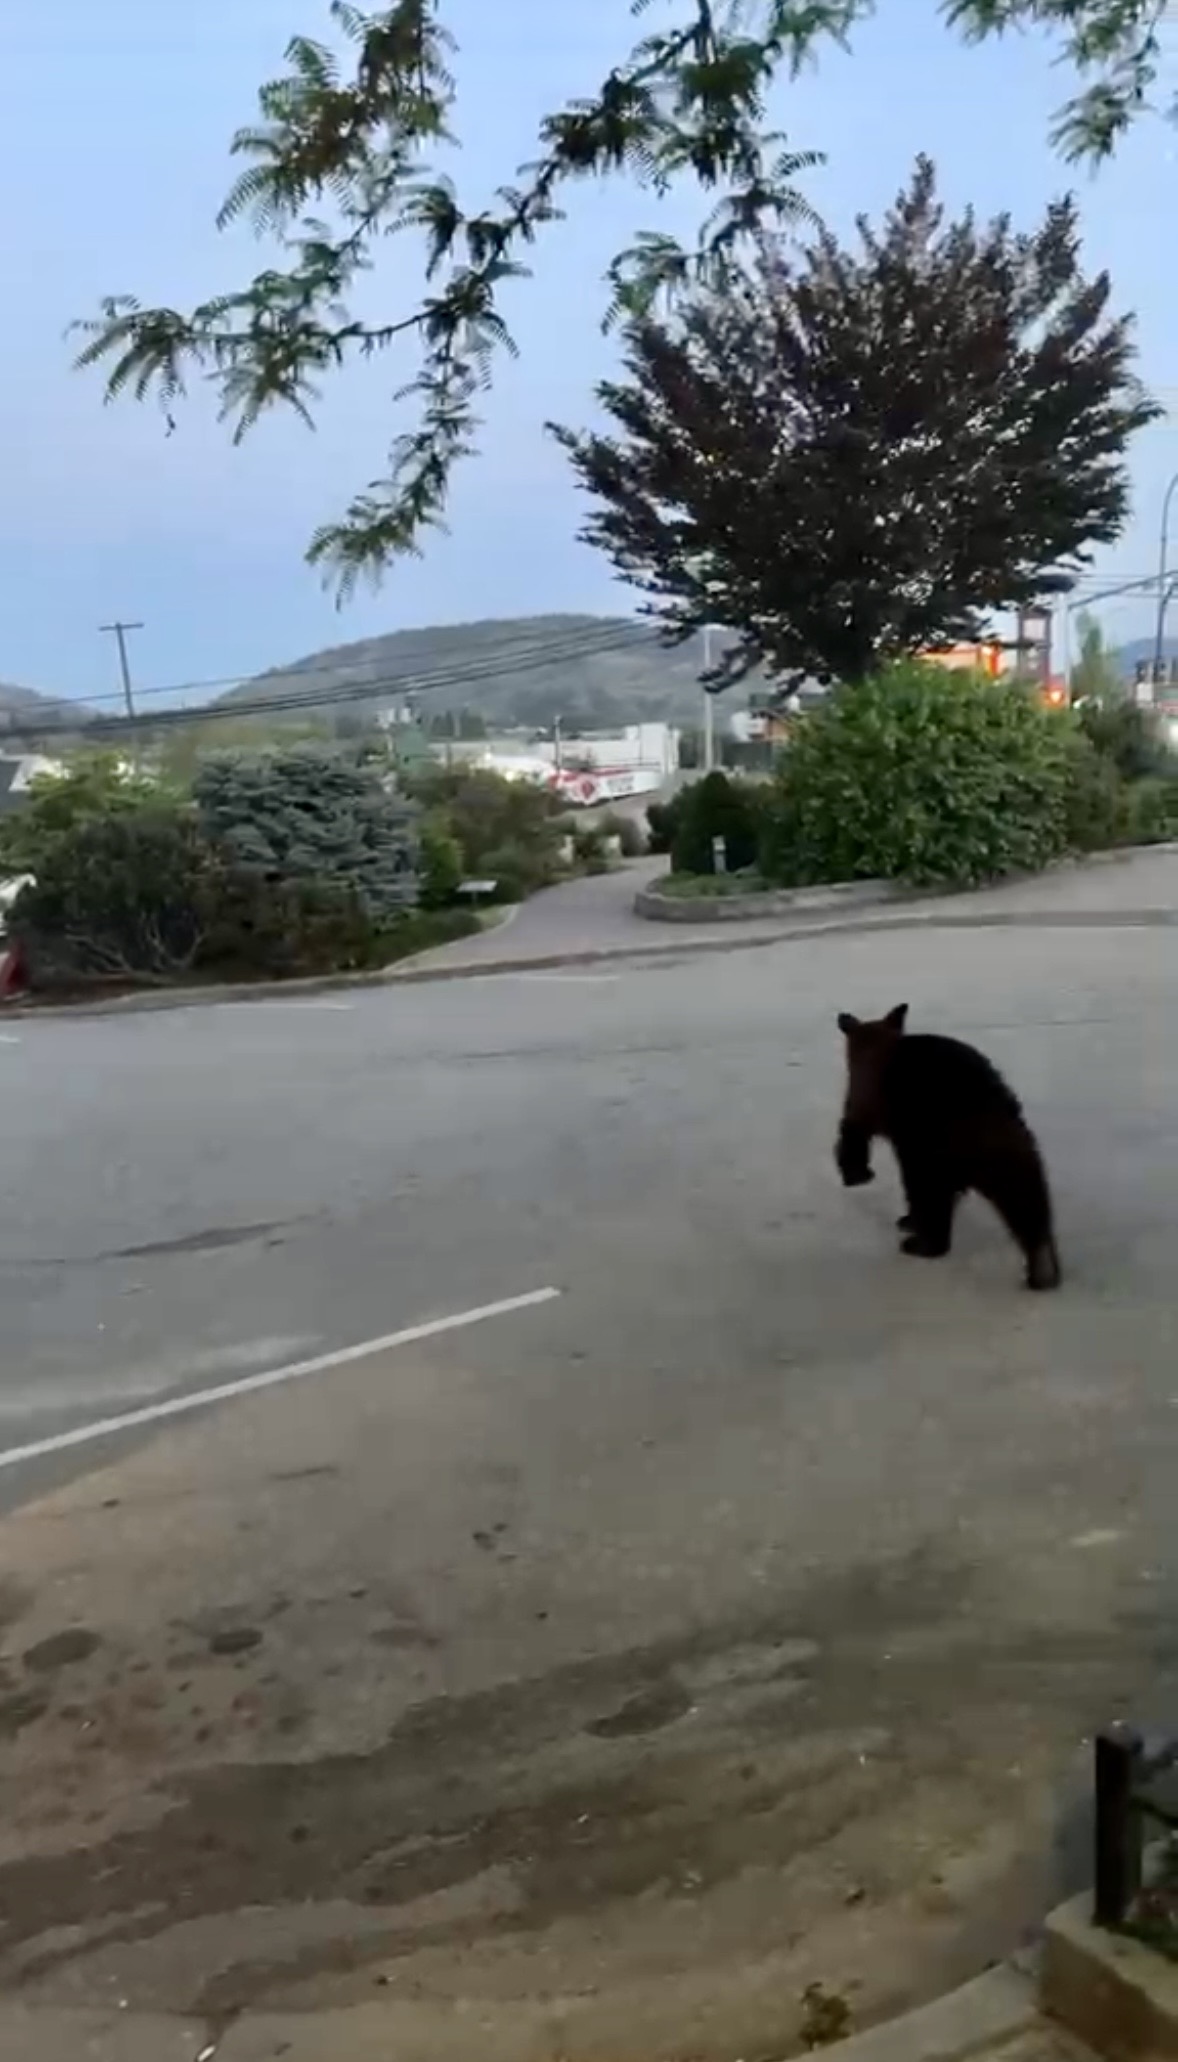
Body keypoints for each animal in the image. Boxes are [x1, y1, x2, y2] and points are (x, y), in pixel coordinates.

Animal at [835, 1003, 1061, 1291]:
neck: (877, 1043)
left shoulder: (868, 1097)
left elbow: (852, 1128)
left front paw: (855, 1172)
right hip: (1013, 1148)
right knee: (1025, 1197)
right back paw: (1043, 1268)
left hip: (931, 1145)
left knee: (930, 1192)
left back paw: (921, 1243)